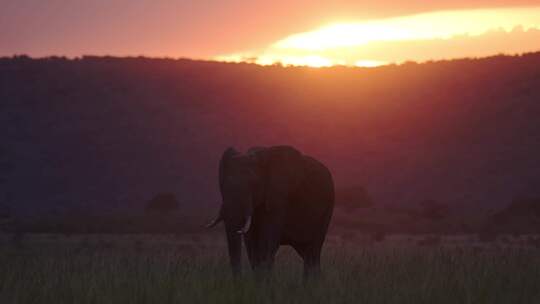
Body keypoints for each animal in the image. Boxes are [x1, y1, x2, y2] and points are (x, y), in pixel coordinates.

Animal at [207, 145, 334, 278]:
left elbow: (266, 243)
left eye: (254, 185)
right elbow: (251, 243)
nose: (239, 282)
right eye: (223, 185)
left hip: (327, 209)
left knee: (313, 251)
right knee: (306, 253)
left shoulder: (278, 199)